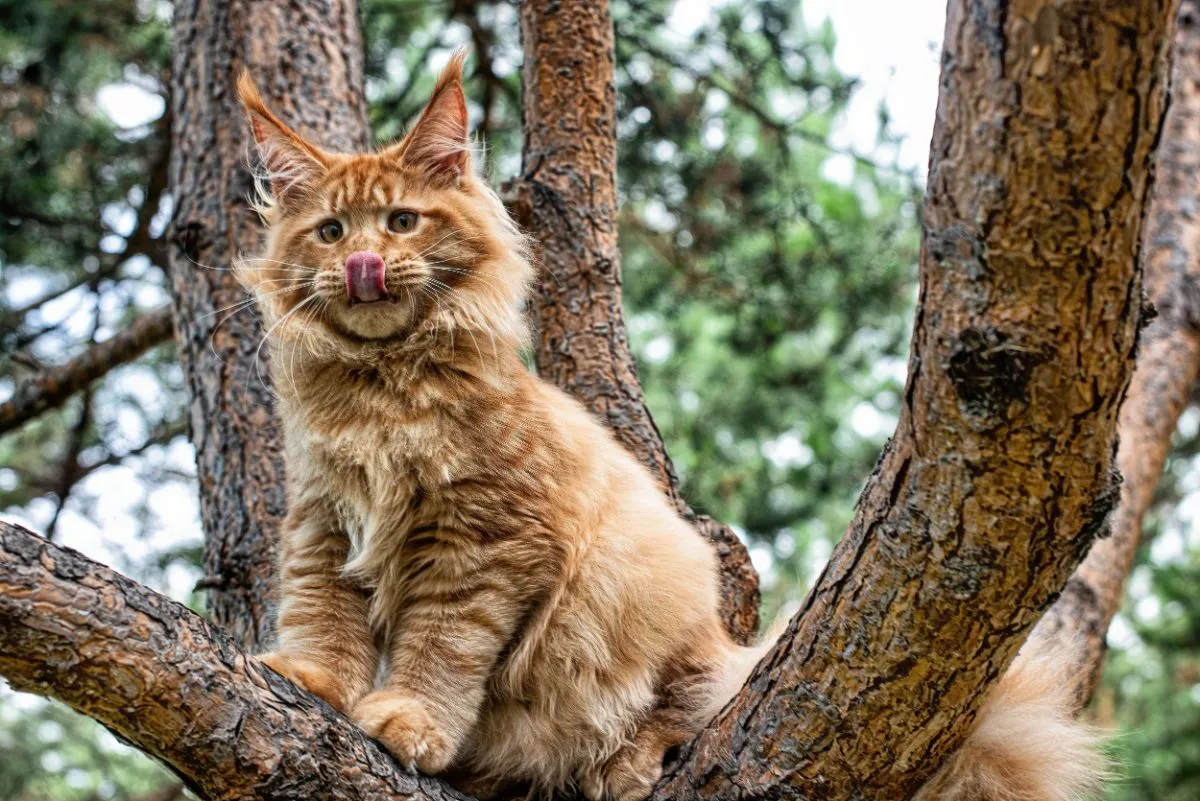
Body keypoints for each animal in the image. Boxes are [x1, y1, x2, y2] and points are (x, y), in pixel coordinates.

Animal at [236, 53, 1104, 796]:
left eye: (402, 221)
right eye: (330, 232)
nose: (362, 265)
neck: (383, 392)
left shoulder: (484, 543)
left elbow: (440, 646)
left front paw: (411, 719)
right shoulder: (323, 518)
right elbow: (321, 616)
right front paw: (312, 680)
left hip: (650, 586)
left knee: (682, 706)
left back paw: (629, 762)